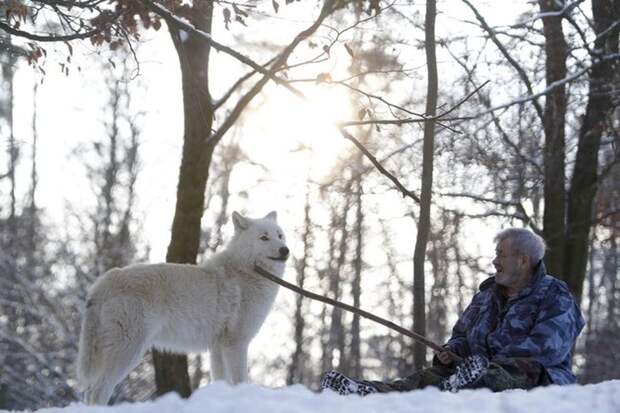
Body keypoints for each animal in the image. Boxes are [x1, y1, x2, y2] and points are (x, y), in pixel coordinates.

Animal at [77, 211, 288, 404]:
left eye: (279, 235)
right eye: (264, 237)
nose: (285, 250)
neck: (247, 271)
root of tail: (104, 281)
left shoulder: (218, 347)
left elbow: (221, 380)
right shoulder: (236, 343)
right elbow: (239, 380)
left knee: (89, 391)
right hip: (129, 351)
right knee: (98, 390)